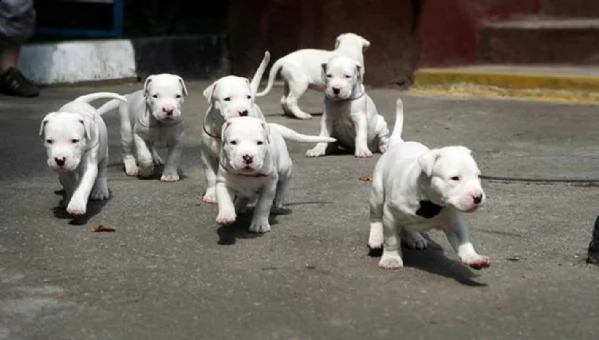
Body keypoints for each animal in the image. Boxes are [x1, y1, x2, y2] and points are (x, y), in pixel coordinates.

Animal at [203, 51, 274, 203]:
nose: (244, 111)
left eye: (248, 97)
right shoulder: (206, 155)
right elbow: (210, 175)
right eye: (227, 99)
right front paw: (211, 194)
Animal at [366, 98, 492, 270]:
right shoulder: (390, 216)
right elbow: (391, 239)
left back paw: (414, 238)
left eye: (478, 176)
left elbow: (464, 242)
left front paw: (473, 257)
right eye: (455, 178)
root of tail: (398, 144)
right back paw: (376, 237)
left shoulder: (454, 223)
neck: (428, 202)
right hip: (377, 192)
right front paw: (391, 259)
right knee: (376, 217)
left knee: (407, 226)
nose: (478, 197)